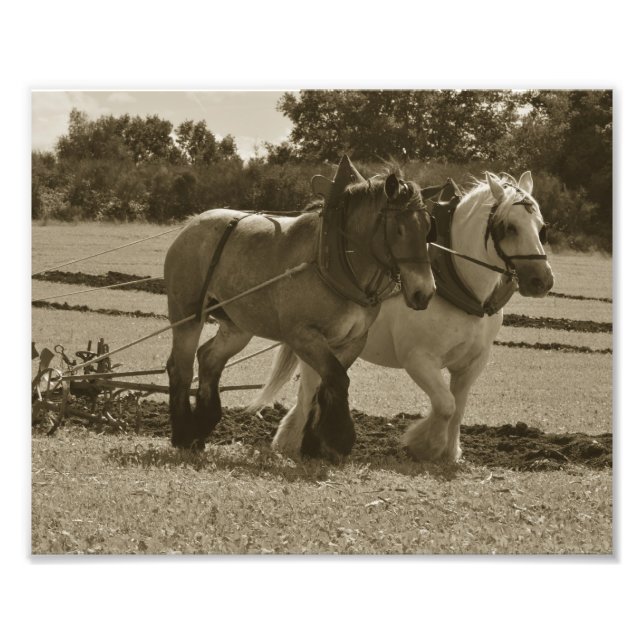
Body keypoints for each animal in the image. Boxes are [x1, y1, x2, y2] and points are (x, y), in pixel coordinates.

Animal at [164, 155, 437, 460]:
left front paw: (314, 445)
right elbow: (337, 379)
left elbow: (325, 383)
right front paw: (338, 439)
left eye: (428, 228)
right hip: (186, 314)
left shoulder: (352, 340)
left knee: (209, 359)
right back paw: (183, 433)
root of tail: (192, 222)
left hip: (237, 326)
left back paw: (202, 426)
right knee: (181, 367)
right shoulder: (303, 336)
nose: (424, 292)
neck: (333, 261)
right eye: (399, 229)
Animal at [249, 170, 555, 462]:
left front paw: (450, 453)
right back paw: (294, 441)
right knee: (310, 389)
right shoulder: (419, 359)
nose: (542, 281)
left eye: (541, 227)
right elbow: (445, 405)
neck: (459, 283)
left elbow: (458, 407)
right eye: (509, 227)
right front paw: (425, 445)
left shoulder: (473, 363)